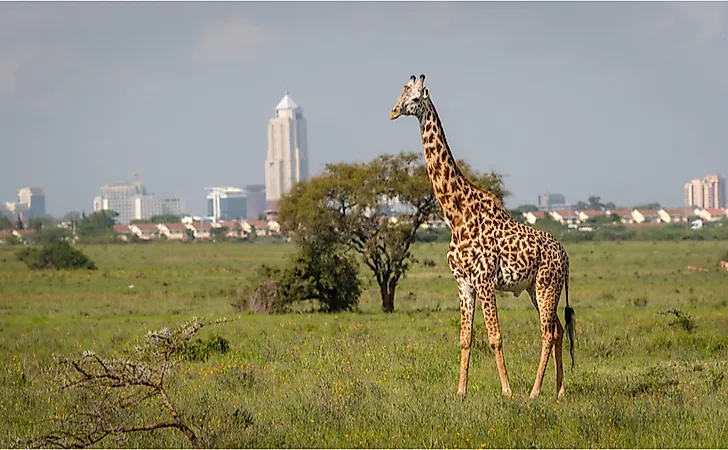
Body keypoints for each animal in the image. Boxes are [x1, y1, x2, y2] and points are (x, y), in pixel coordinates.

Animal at [390, 74, 576, 400]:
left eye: (413, 98)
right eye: (401, 94)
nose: (393, 111)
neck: (456, 214)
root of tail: (565, 257)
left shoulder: (485, 279)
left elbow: (495, 336)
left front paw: (506, 391)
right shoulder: (463, 281)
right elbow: (465, 338)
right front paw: (460, 391)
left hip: (546, 285)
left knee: (547, 332)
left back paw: (534, 391)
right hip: (535, 288)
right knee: (558, 330)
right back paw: (559, 391)